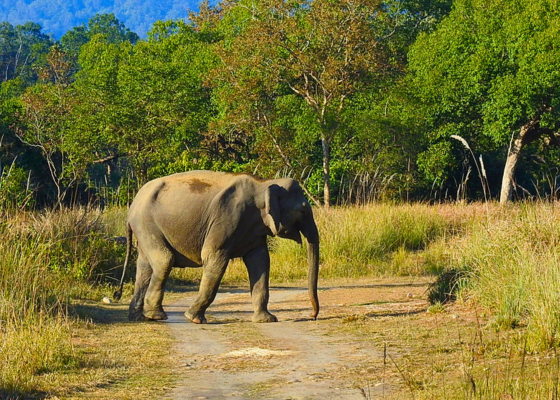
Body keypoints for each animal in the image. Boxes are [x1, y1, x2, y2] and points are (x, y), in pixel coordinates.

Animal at [114, 170, 320, 324]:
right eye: (303, 210)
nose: (312, 316)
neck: (264, 183)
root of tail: (132, 207)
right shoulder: (226, 217)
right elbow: (214, 257)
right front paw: (194, 318)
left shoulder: (254, 231)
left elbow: (260, 262)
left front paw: (267, 320)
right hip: (147, 225)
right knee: (164, 261)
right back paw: (156, 316)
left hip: (145, 229)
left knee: (144, 267)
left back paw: (138, 317)